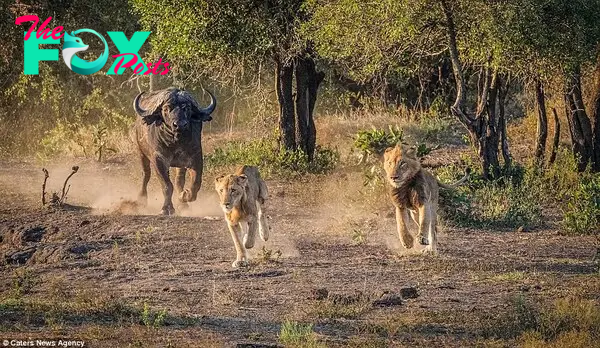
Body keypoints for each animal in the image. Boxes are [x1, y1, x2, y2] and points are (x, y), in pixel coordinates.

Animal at [132, 87, 217, 215]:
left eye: (187, 108)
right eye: (166, 108)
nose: (180, 125)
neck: (176, 142)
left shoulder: (195, 157)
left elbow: (196, 182)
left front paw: (184, 195)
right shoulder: (158, 159)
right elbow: (167, 185)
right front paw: (166, 208)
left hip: (180, 164)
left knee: (179, 180)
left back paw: (183, 204)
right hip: (141, 153)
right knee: (146, 174)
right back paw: (141, 200)